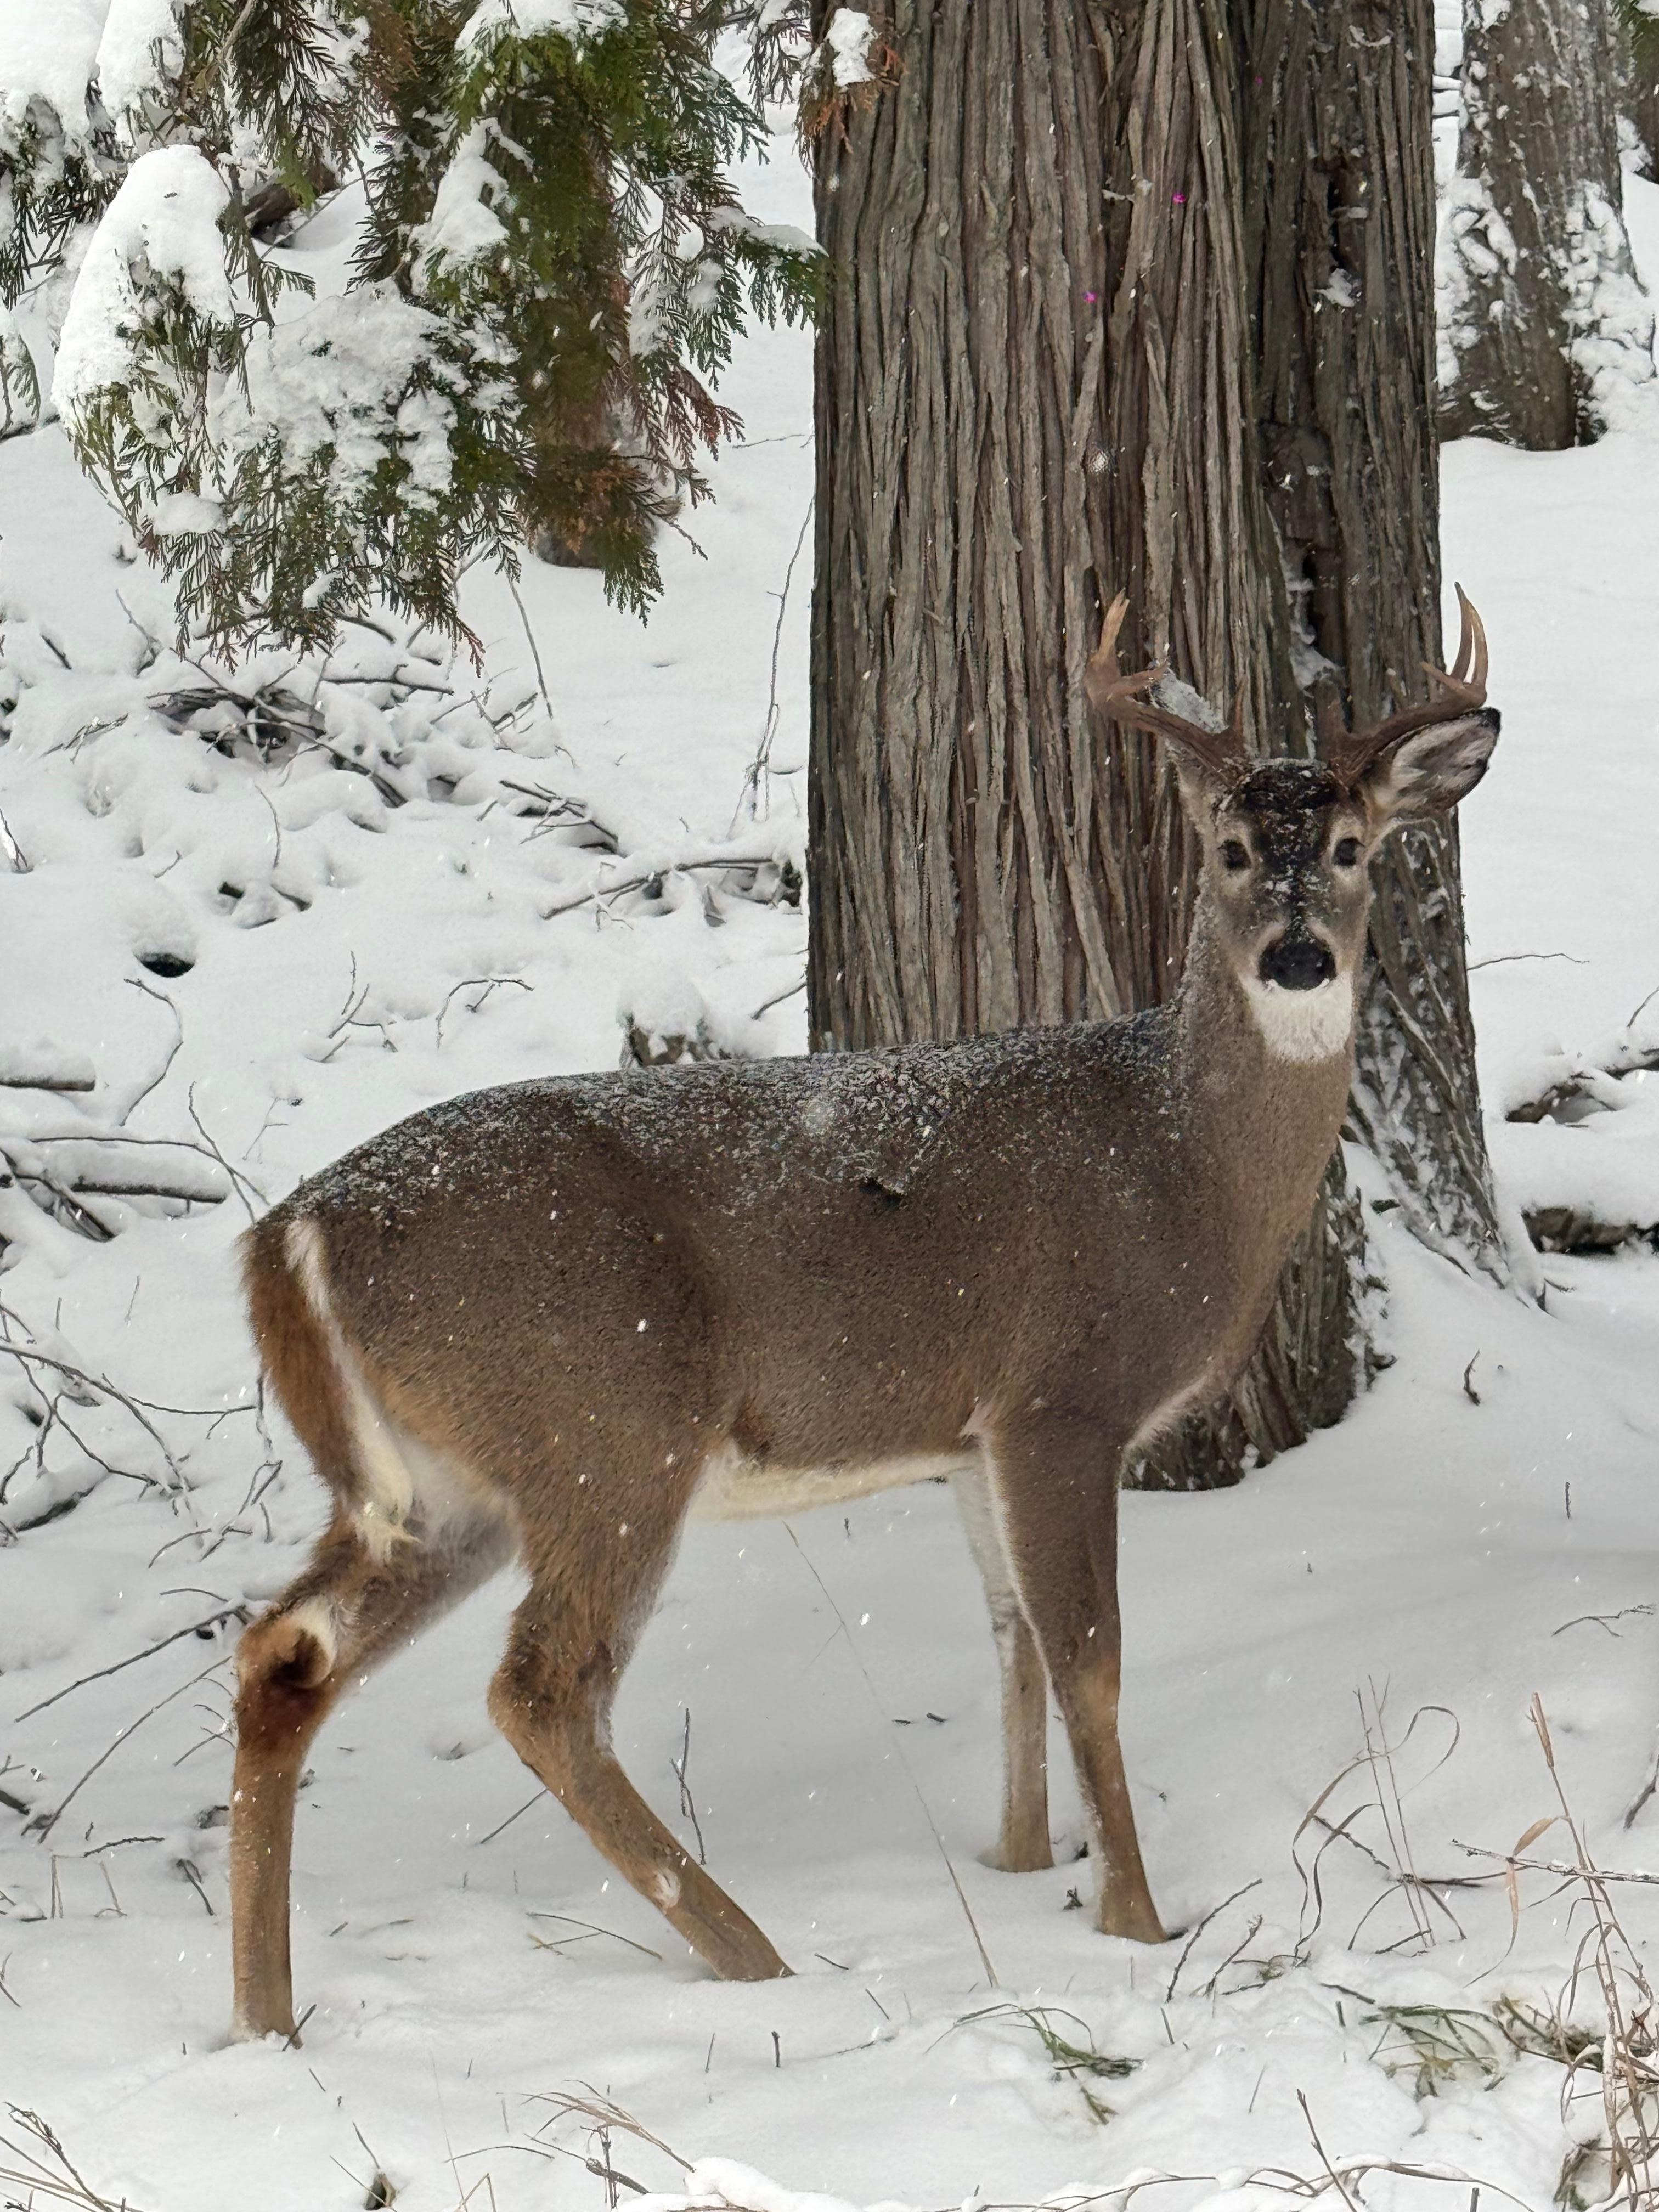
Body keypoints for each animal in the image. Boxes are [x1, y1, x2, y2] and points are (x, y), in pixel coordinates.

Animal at [228, 589, 1499, 2041]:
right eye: (1231, 849)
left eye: (1349, 847)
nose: (1296, 957)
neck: (1183, 1166)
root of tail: (287, 1239)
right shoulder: (1061, 1395)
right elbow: (1091, 1657)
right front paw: (1135, 1922)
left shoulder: (969, 1437)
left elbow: (1013, 1642)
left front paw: (1021, 1864)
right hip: (610, 1427)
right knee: (543, 1687)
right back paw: (754, 1958)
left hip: (438, 1487)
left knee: (285, 1654)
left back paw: (264, 2020)